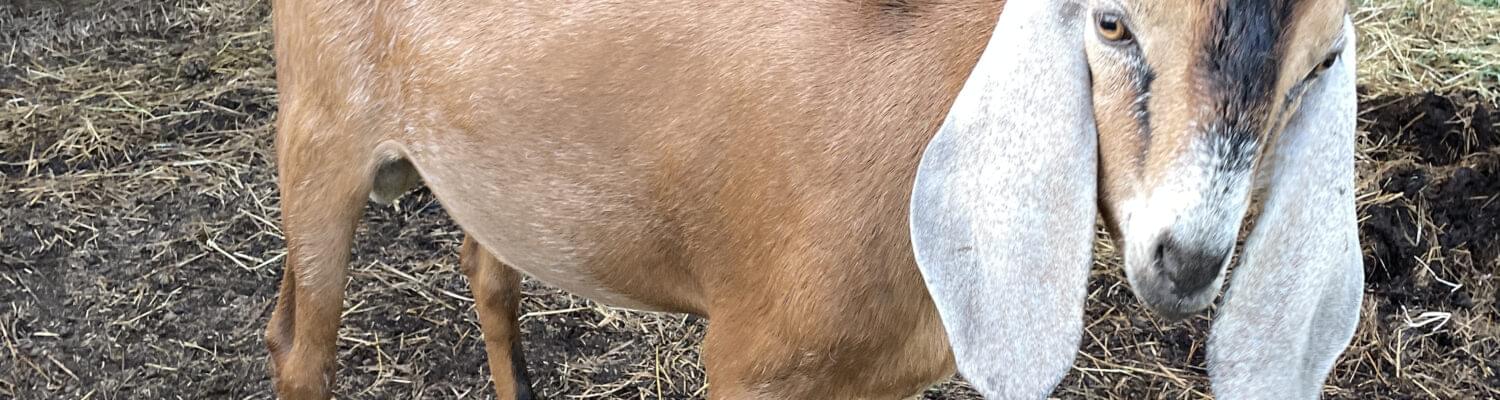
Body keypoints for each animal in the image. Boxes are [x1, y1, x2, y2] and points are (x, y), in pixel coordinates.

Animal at [265, 0, 1363, 398]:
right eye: (1111, 23)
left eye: (1323, 62)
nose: (1188, 259)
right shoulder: (751, 360)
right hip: (321, 127)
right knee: (297, 344)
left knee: (487, 273)